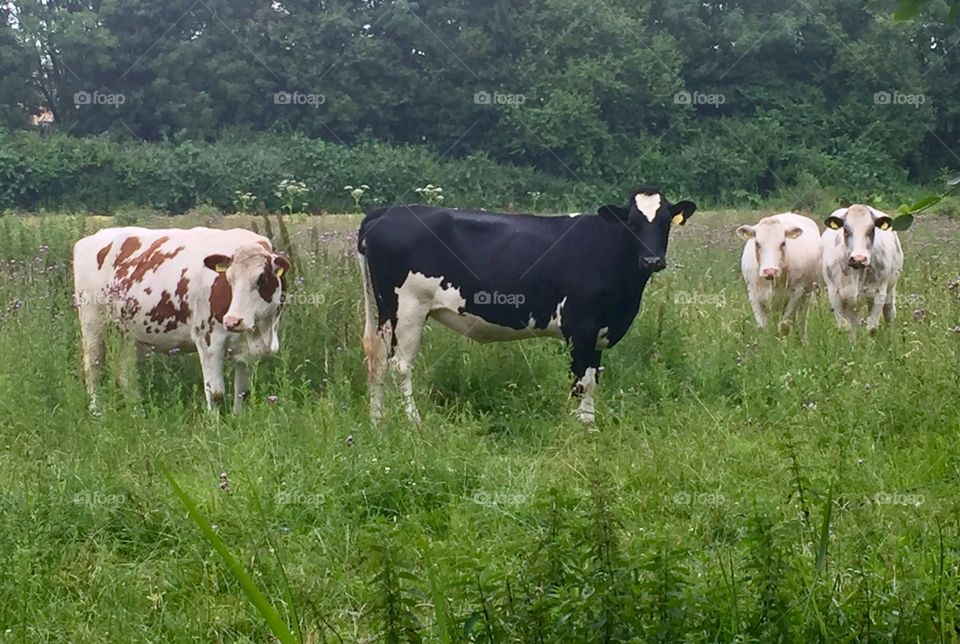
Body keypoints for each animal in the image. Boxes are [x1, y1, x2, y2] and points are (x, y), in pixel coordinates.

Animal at [73, 226, 290, 410]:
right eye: (228, 279)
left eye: (262, 278)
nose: (233, 321)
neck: (262, 331)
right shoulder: (208, 341)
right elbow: (216, 394)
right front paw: (216, 430)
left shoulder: (246, 349)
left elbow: (242, 393)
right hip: (92, 322)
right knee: (93, 367)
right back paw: (97, 412)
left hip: (127, 333)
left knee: (126, 372)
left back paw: (136, 412)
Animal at [356, 189, 692, 426]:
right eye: (632, 224)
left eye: (665, 223)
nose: (652, 260)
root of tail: (385, 213)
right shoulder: (581, 327)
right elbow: (581, 382)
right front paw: (581, 428)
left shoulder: (598, 330)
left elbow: (592, 379)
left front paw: (589, 423)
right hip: (407, 309)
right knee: (400, 365)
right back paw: (413, 422)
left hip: (386, 314)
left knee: (376, 360)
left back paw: (377, 421)